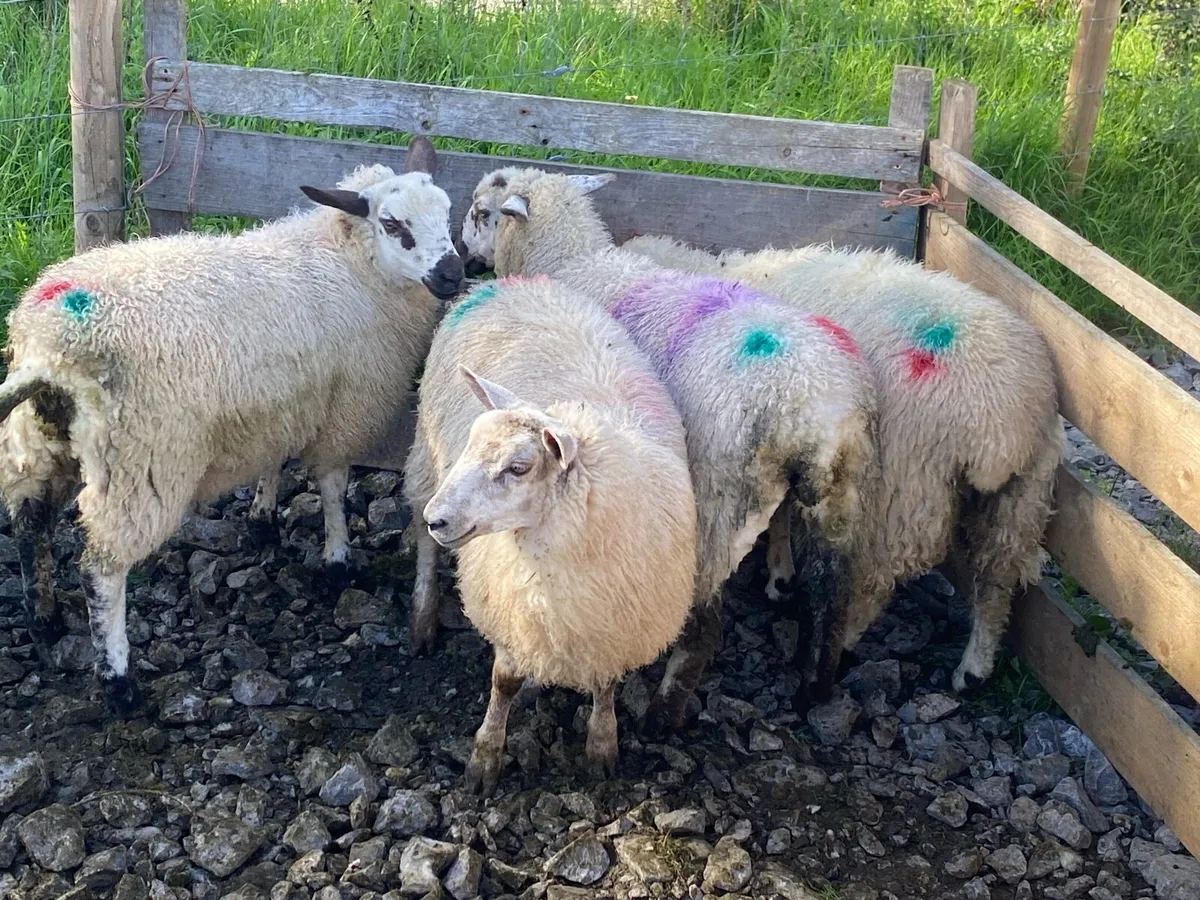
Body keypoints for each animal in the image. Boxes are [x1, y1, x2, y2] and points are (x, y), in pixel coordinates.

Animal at [0, 136, 463, 716]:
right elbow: (333, 484)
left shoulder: (282, 401)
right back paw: (117, 680)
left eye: (448, 214)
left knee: (29, 526)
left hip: (37, 444)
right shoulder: (344, 407)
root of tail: (50, 346)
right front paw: (337, 562)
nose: (453, 274)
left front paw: (263, 517)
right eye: (393, 224)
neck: (348, 263)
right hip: (140, 460)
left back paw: (44, 620)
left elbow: (274, 459)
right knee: (100, 568)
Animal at [402, 275, 698, 794]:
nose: (441, 517)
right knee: (423, 545)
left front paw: (602, 744)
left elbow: (606, 685)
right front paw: (485, 758)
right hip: (426, 455)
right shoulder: (509, 607)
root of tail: (508, 282)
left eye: (519, 468)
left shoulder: (610, 624)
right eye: (472, 443)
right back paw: (423, 615)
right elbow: (503, 683)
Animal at [455, 167, 882, 735]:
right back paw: (815, 689)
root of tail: (815, 405)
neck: (575, 260)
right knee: (831, 596)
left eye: (482, 212)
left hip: (719, 502)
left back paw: (664, 711)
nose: (462, 256)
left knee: (704, 625)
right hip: (844, 492)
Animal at [619, 235, 1064, 692]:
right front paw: (782, 576)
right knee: (998, 578)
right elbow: (783, 511)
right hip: (1024, 491)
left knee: (882, 578)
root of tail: (1000, 429)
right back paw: (973, 669)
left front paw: (779, 574)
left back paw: (847, 639)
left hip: (905, 483)